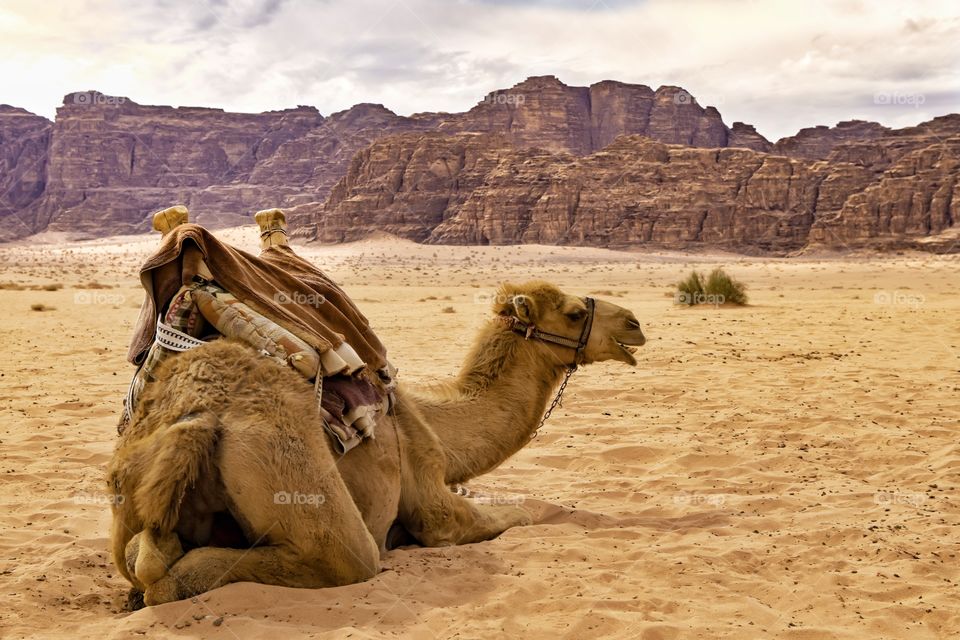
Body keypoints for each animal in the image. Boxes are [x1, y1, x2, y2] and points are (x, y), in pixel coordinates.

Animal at [109, 215, 644, 604]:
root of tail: (197, 418)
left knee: (144, 556)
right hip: (293, 475)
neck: (432, 420)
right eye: (574, 312)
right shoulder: (431, 493)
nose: (635, 324)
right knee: (338, 559)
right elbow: (522, 511)